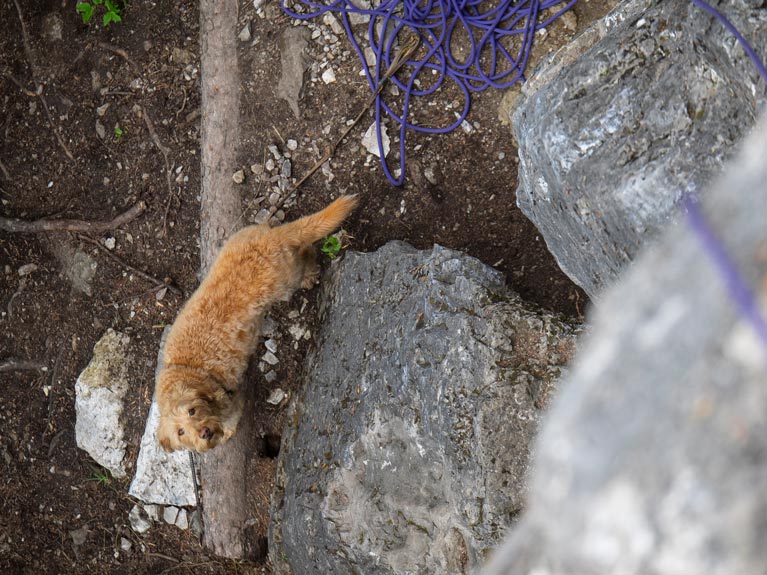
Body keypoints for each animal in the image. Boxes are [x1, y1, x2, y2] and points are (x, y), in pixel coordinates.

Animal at [158, 196, 360, 452]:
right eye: (181, 432)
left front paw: (225, 434)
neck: (186, 368)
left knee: (307, 254)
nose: (204, 432)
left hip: (287, 281)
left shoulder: (231, 403)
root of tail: (269, 239)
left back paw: (310, 275)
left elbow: (230, 422)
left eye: (192, 411)